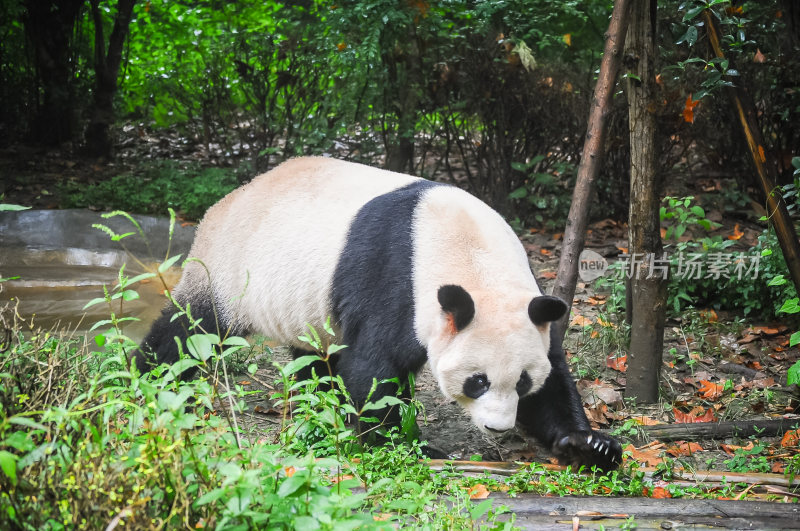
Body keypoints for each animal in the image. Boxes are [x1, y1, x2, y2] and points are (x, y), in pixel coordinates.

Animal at [138, 157, 620, 470]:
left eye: (521, 381)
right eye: (477, 381)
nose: (499, 428)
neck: (472, 256)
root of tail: (230, 198)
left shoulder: (528, 303)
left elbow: (554, 375)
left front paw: (590, 445)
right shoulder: (394, 281)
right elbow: (373, 368)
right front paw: (402, 445)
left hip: (306, 301)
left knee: (314, 355)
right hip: (231, 268)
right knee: (190, 330)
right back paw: (149, 382)